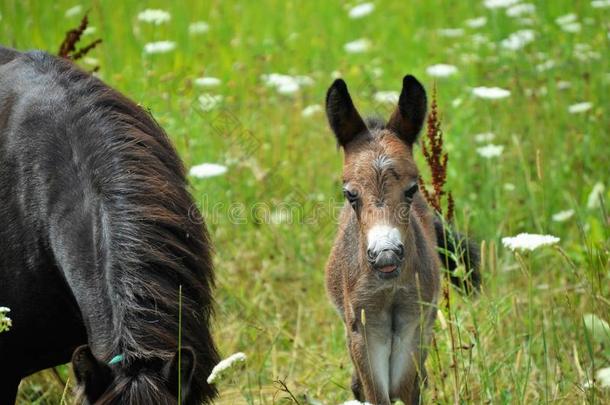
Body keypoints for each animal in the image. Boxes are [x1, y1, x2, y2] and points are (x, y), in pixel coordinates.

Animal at [326, 76, 440, 404]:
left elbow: (407, 389)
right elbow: (377, 394)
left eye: (412, 189)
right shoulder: (364, 330)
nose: (386, 256)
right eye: (350, 194)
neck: (389, 290)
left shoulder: (412, 325)